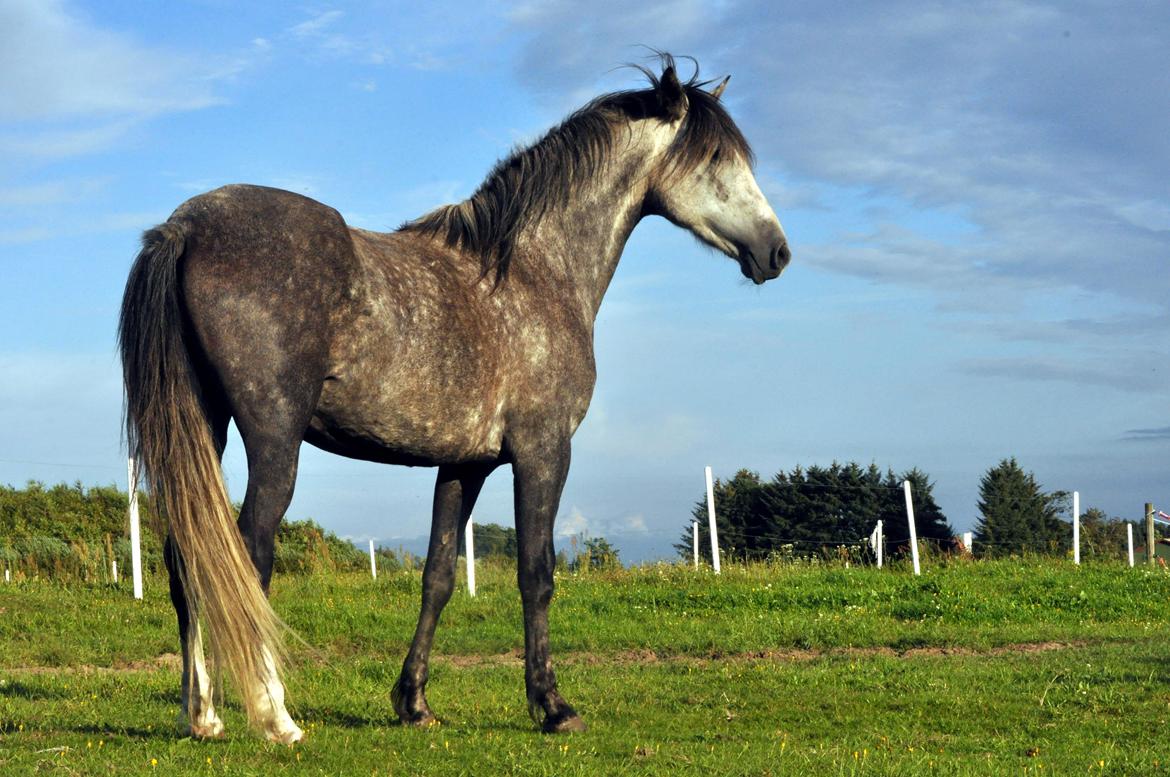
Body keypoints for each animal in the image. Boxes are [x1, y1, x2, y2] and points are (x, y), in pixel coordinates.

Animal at [118, 57, 786, 744]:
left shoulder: (463, 465)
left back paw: (202, 714)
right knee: (247, 557)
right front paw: (552, 705)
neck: (531, 273)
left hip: (204, 428)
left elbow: (437, 576)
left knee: (188, 561)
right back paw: (275, 716)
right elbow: (536, 573)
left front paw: (412, 702)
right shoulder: (544, 452)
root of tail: (187, 226)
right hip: (273, 440)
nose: (777, 252)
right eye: (714, 158)